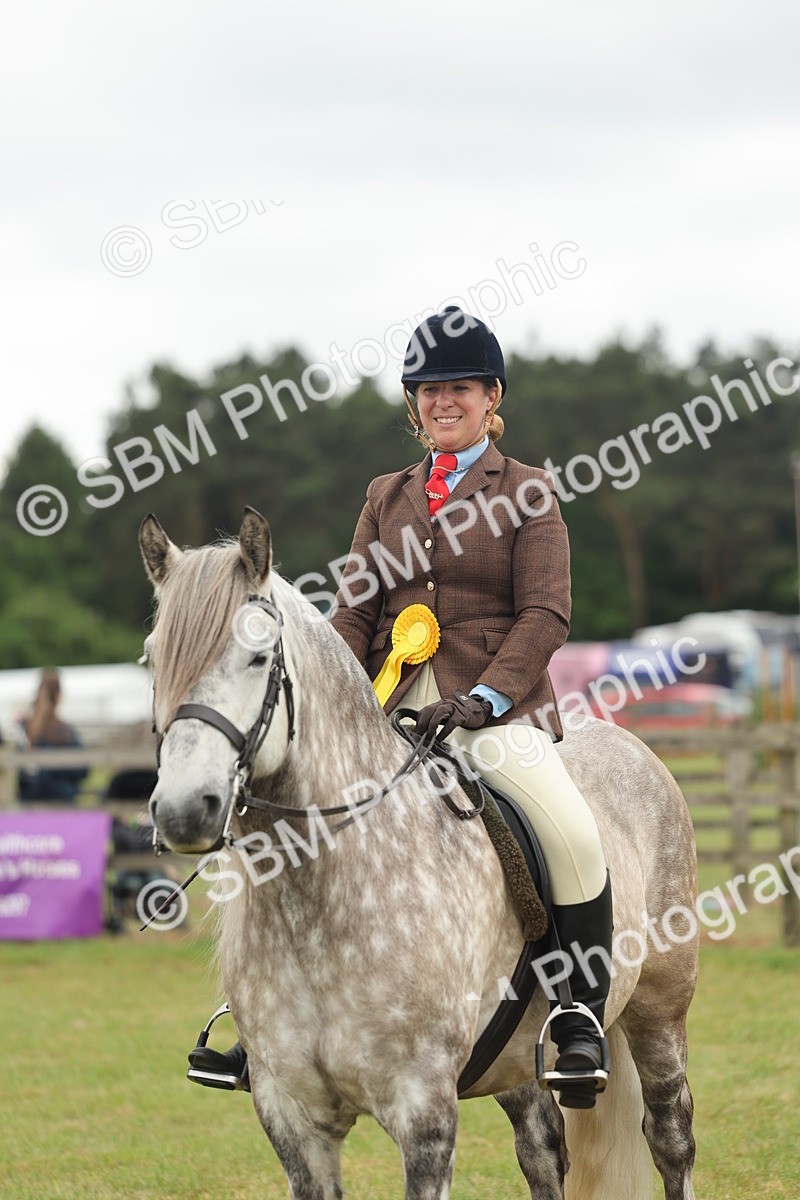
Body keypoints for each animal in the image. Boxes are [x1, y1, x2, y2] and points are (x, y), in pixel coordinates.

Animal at [140, 507, 698, 1200]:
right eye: (151, 659)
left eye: (258, 655)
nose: (185, 810)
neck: (319, 904)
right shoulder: (291, 1118)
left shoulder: (424, 1110)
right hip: (511, 1059)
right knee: (543, 1150)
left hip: (660, 1010)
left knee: (670, 1135)